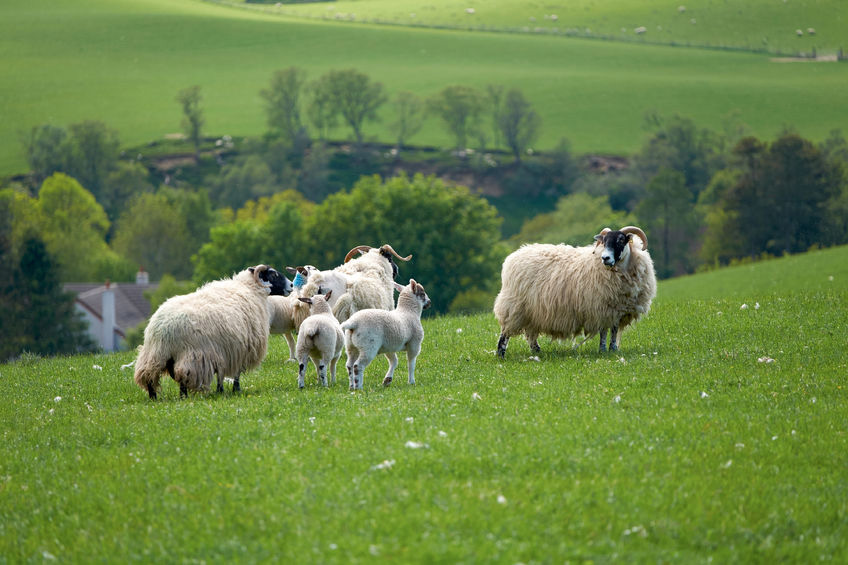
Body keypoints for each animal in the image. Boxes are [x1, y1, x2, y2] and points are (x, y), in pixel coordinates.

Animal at [132, 264, 292, 398]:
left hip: (154, 355)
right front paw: (234, 390)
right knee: (182, 376)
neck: (250, 288)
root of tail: (162, 329)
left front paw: (221, 391)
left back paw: (154, 397)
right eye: (273, 274)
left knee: (148, 376)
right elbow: (235, 373)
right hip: (191, 356)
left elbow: (222, 374)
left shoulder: (225, 351)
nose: (291, 285)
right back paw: (183, 397)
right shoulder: (239, 349)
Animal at [494, 225, 660, 356]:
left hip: (532, 311)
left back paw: (537, 352)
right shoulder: (602, 308)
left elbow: (613, 332)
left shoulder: (617, 311)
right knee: (505, 332)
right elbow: (604, 332)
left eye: (620, 240)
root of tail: (513, 257)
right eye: (604, 241)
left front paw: (613, 350)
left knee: (530, 333)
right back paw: (501, 354)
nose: (605, 258)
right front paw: (603, 350)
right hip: (515, 306)